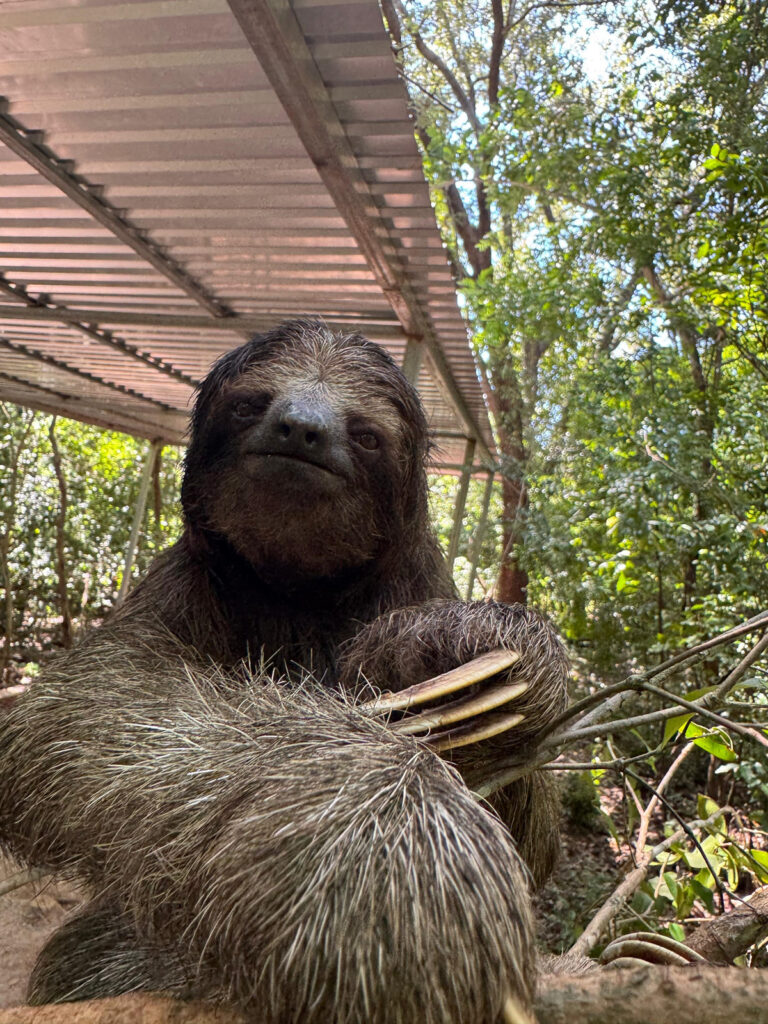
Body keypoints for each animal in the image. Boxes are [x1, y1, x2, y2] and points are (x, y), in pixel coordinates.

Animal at [0, 318, 569, 1024]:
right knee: (83, 957)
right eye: (251, 403)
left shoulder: (419, 582)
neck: (298, 596)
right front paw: (367, 830)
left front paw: (462, 652)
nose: (299, 427)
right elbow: (79, 706)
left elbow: (537, 839)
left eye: (365, 433)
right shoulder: (178, 587)